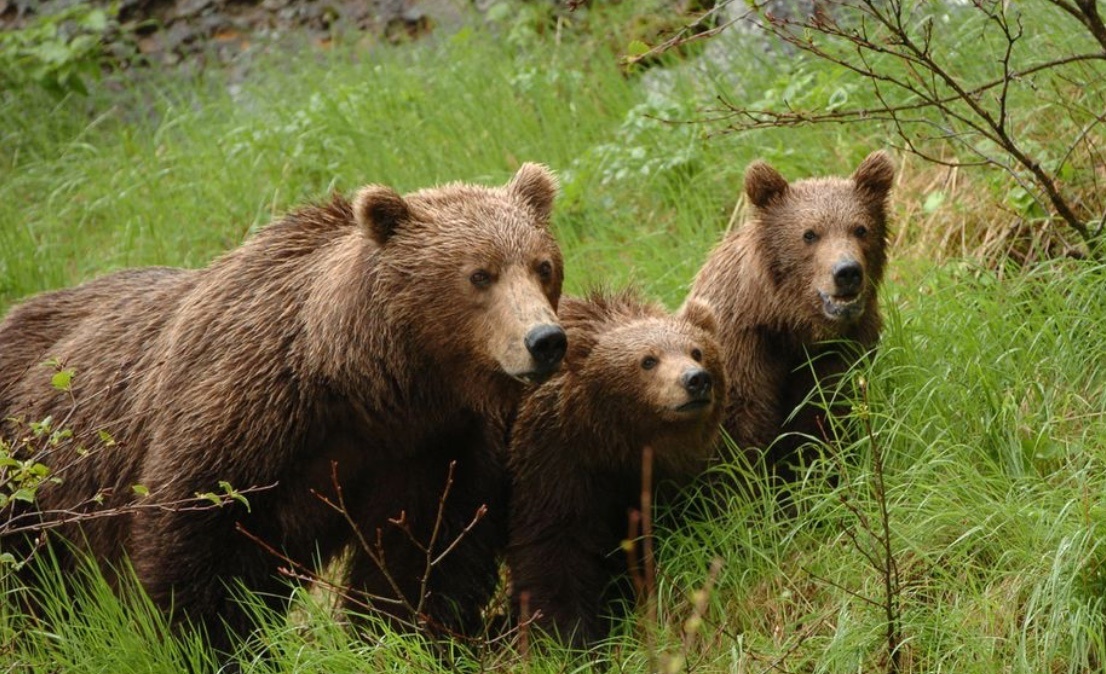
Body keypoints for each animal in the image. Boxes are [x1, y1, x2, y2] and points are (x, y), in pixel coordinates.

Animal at [0, 162, 566, 650]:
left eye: (542, 266)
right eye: (479, 274)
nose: (545, 340)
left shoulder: (430, 447)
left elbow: (424, 556)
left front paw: (404, 634)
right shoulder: (242, 416)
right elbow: (201, 549)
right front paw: (212, 643)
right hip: (29, 476)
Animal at [504, 289, 725, 646]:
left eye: (697, 351)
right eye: (648, 360)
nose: (696, 380)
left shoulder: (662, 478)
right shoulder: (553, 462)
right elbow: (554, 547)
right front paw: (569, 636)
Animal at [685, 151, 893, 478]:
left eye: (861, 228)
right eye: (809, 234)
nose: (847, 272)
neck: (790, 322)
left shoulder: (841, 349)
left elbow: (824, 414)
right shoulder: (742, 347)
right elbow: (741, 432)